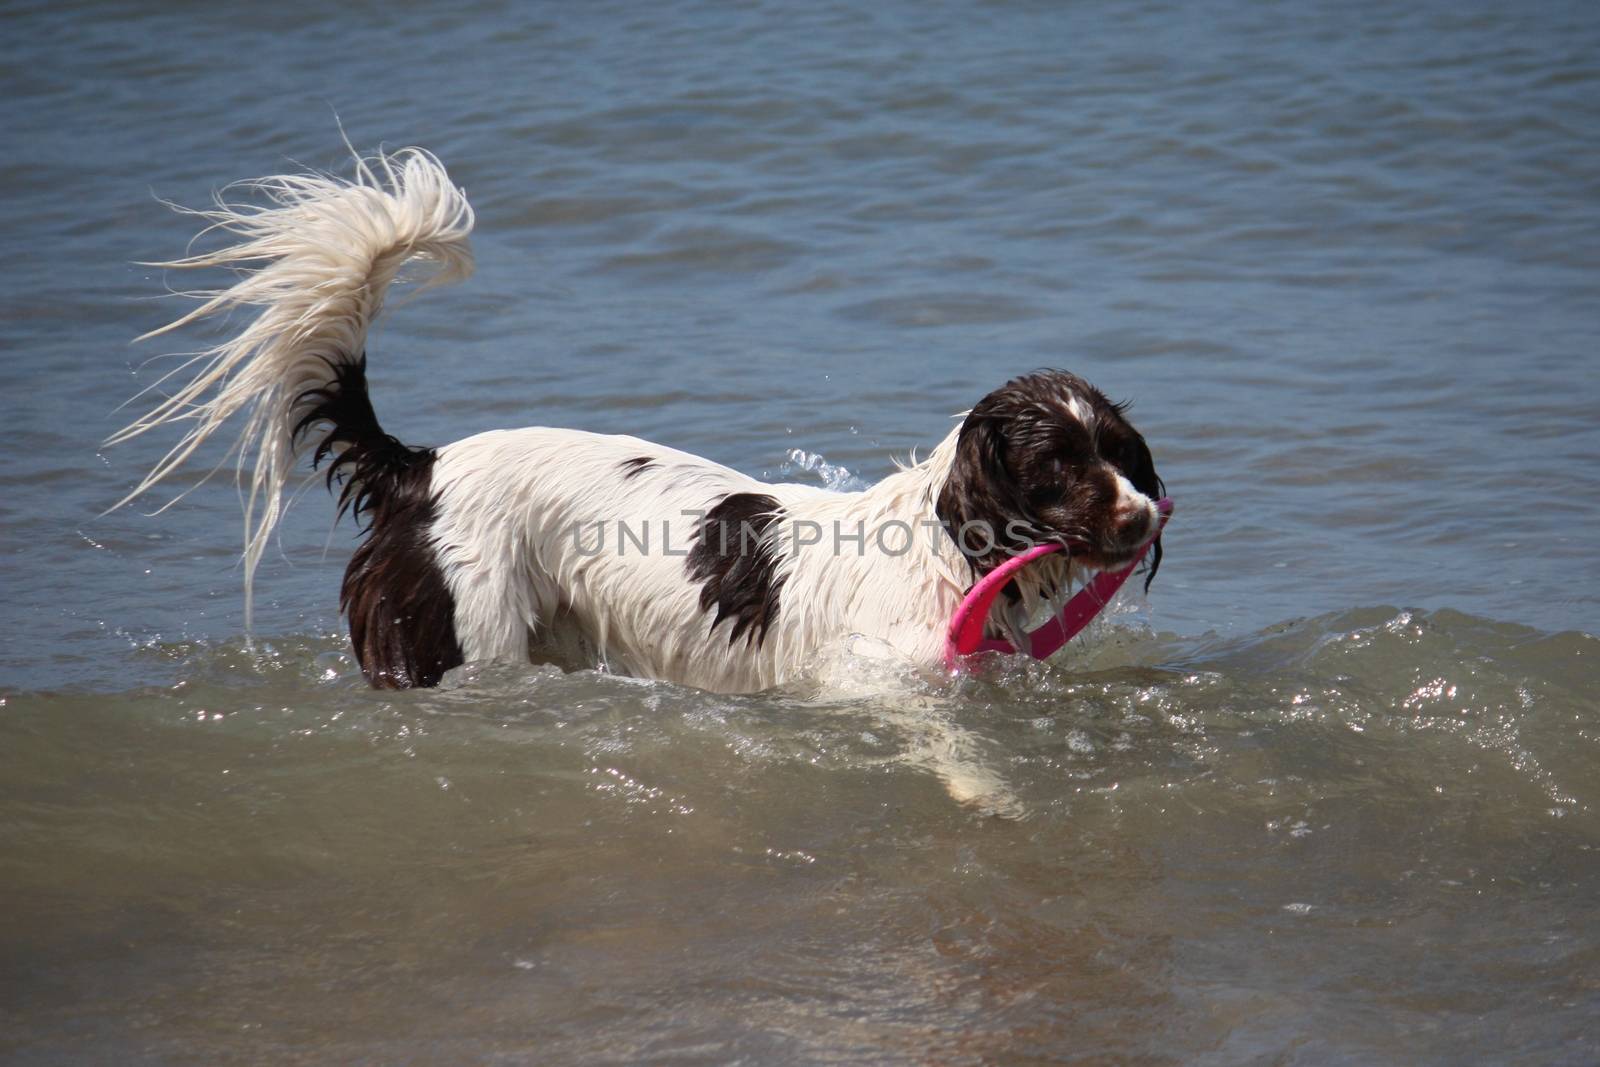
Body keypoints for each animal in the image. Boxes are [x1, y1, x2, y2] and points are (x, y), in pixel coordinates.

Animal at [112, 154, 1164, 697]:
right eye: (1055, 465)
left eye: (1118, 452)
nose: (1145, 516)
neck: (943, 545)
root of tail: (421, 467)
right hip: (464, 637)